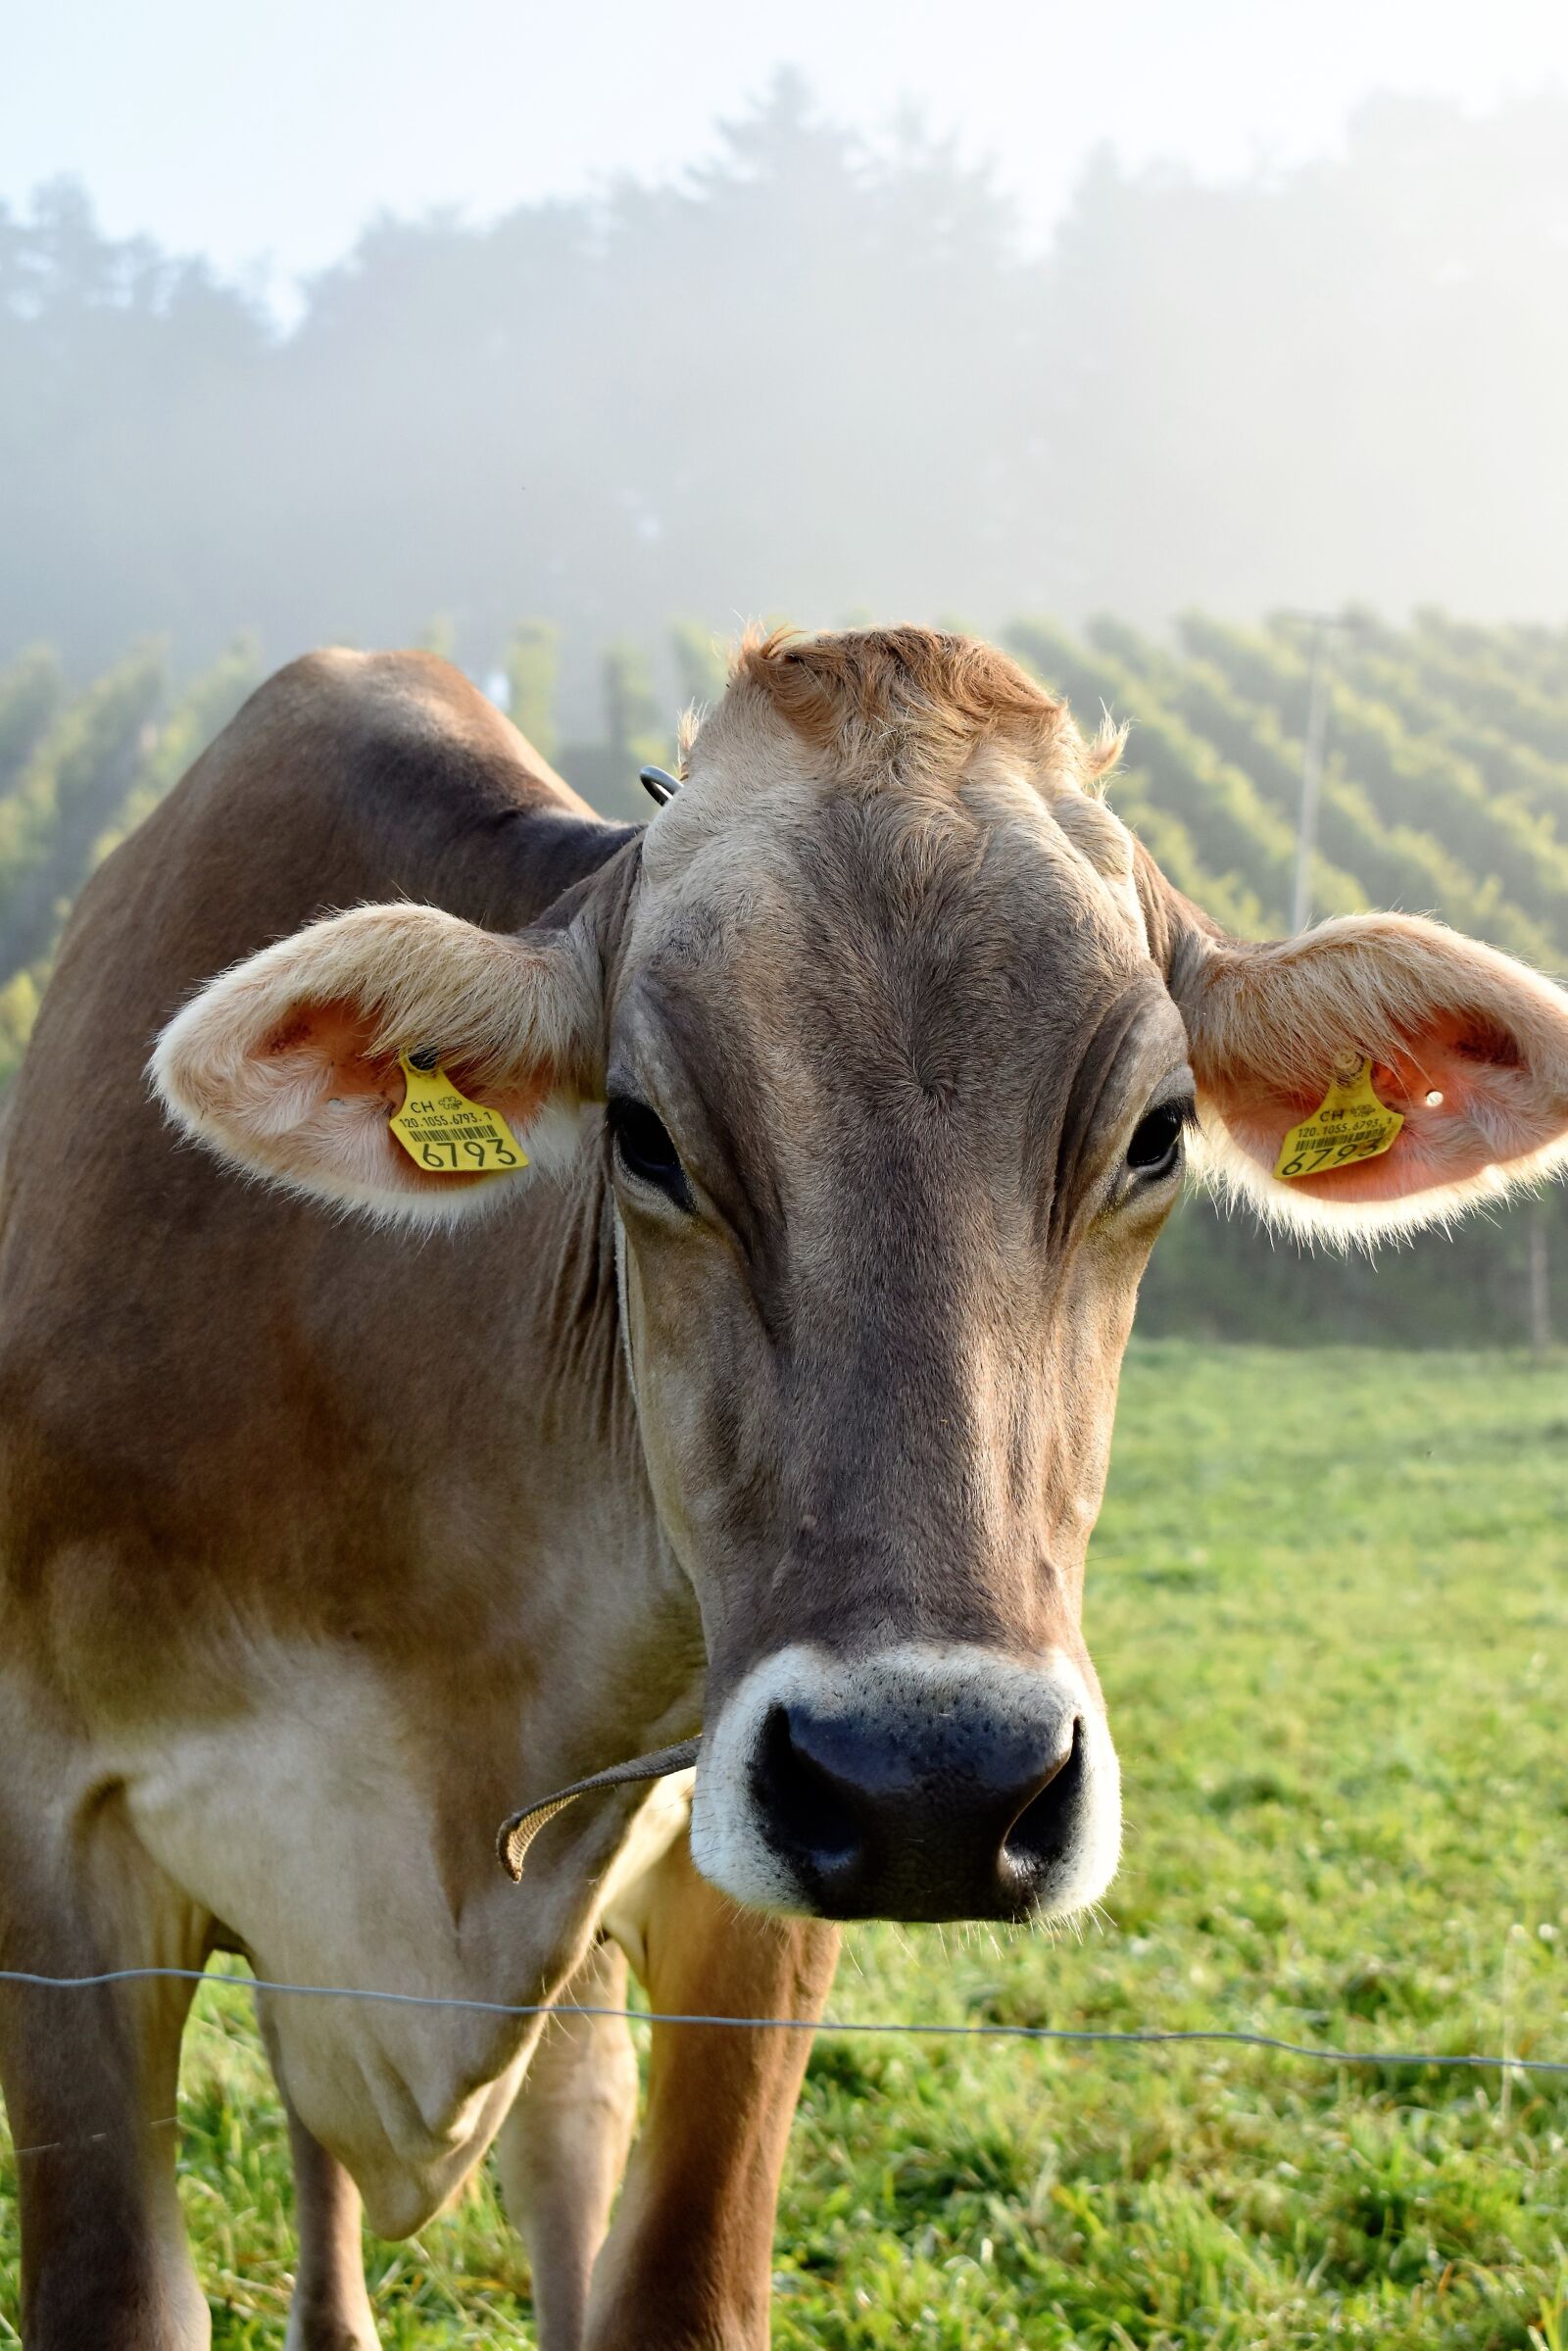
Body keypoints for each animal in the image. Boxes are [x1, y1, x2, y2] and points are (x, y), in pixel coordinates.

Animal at [2, 628, 1566, 2351]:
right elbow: (121, 2287)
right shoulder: (54, 1843)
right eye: (642, 1131)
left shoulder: (731, 1869)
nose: (939, 1782)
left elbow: (671, 2276)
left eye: (1158, 1134)